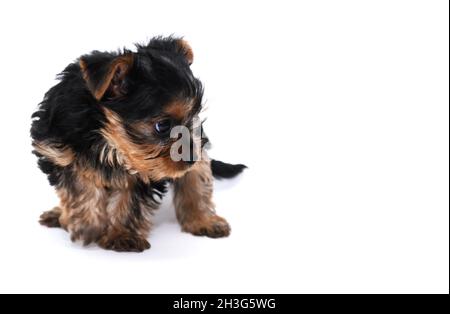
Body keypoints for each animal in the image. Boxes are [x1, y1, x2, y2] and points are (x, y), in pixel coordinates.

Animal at [30, 36, 246, 253]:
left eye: (193, 117)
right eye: (162, 126)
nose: (191, 158)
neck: (106, 136)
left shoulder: (148, 167)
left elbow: (130, 199)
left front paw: (122, 235)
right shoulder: (58, 152)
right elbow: (79, 185)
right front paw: (86, 224)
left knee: (196, 177)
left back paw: (203, 220)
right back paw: (59, 215)